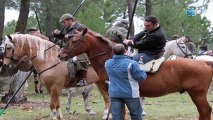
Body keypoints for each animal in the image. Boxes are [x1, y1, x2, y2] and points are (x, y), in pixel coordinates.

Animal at [60, 27, 213, 119]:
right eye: (70, 39)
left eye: (74, 40)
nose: (61, 54)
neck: (112, 59)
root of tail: (204, 63)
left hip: (197, 94)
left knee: (205, 111)